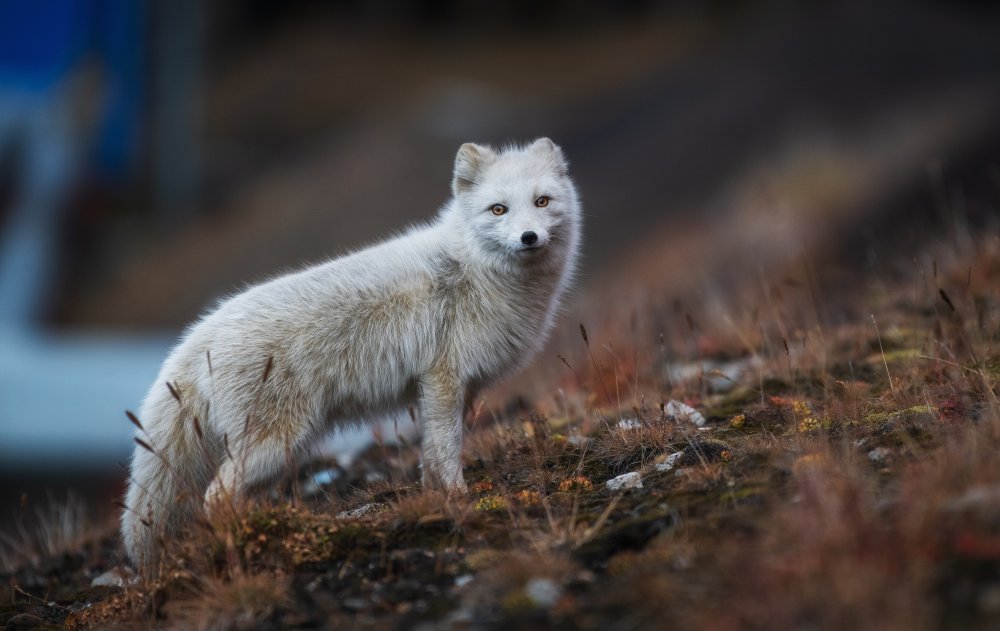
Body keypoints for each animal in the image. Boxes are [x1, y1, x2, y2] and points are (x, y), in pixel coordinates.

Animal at [121, 138, 584, 572]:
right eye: (498, 210)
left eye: (542, 201)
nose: (528, 237)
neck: (472, 269)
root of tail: (199, 336)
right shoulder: (444, 379)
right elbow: (448, 448)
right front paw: (458, 498)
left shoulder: (447, 389)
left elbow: (431, 454)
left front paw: (434, 496)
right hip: (277, 443)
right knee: (215, 495)